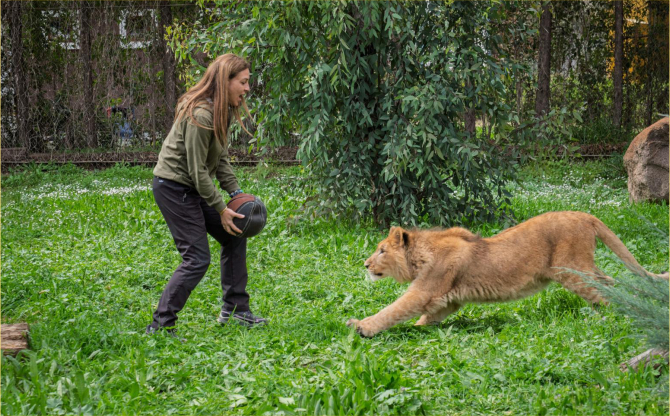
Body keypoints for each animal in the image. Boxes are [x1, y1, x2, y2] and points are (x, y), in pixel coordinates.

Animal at [350, 211, 668, 338]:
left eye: (381, 250)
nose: (365, 264)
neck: (421, 255)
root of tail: (584, 215)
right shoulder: (447, 301)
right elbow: (425, 318)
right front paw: (417, 329)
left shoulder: (425, 291)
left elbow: (393, 310)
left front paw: (361, 327)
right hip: (583, 268)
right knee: (611, 282)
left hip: (572, 270)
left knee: (604, 294)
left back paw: (614, 318)